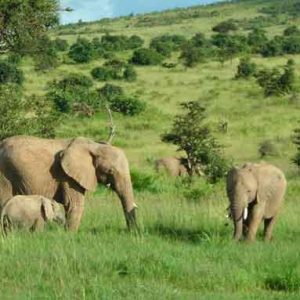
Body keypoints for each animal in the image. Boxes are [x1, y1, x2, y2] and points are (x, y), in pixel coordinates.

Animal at [0, 136, 137, 232]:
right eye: (110, 171)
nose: (132, 232)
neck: (94, 145)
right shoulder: (68, 176)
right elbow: (74, 204)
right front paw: (70, 236)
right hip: (5, 176)